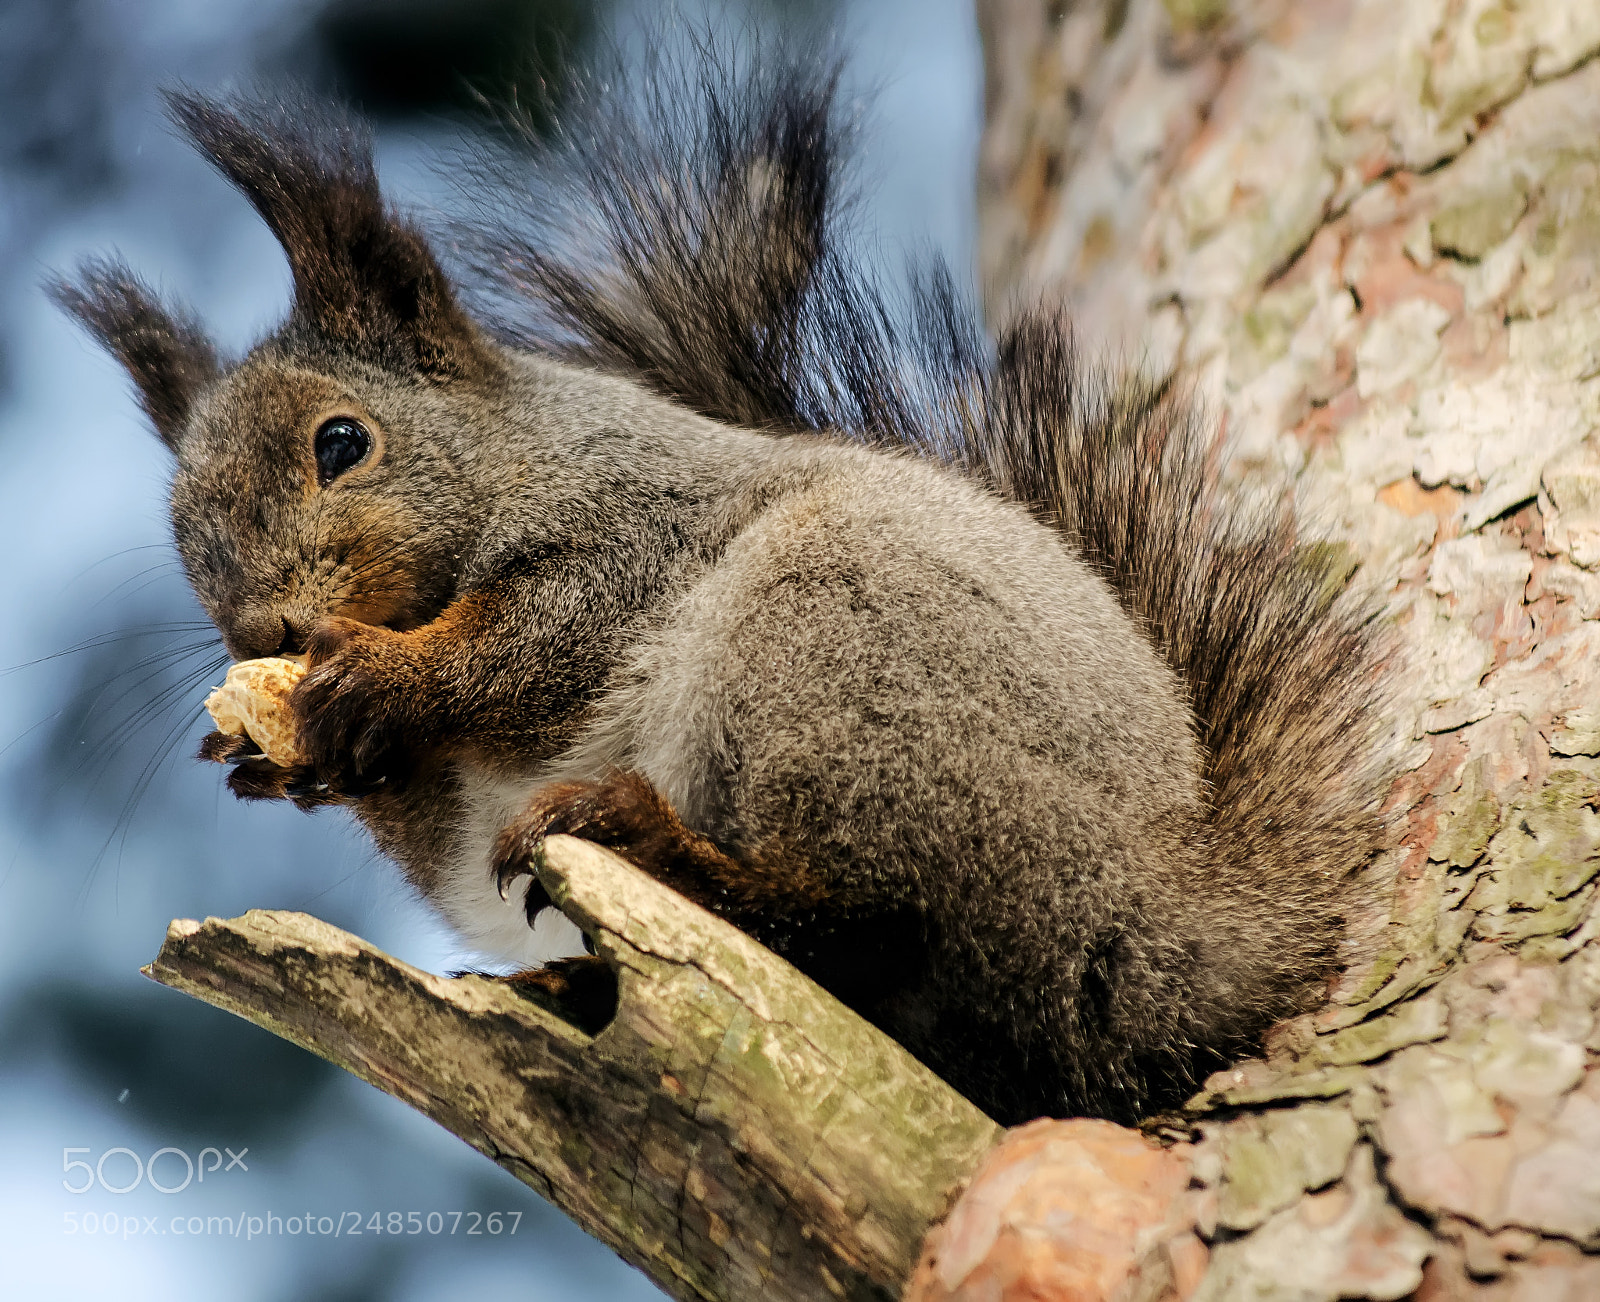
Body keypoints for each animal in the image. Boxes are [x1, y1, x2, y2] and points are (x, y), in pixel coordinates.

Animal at [50, 49, 1396, 1127]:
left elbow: (536, 638)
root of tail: (1163, 925)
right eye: (180, 530)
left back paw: (650, 843)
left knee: (864, 920)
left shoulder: (639, 524)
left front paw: (380, 678)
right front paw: (270, 757)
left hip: (843, 656)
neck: (515, 456)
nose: (263, 627)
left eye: (343, 442)